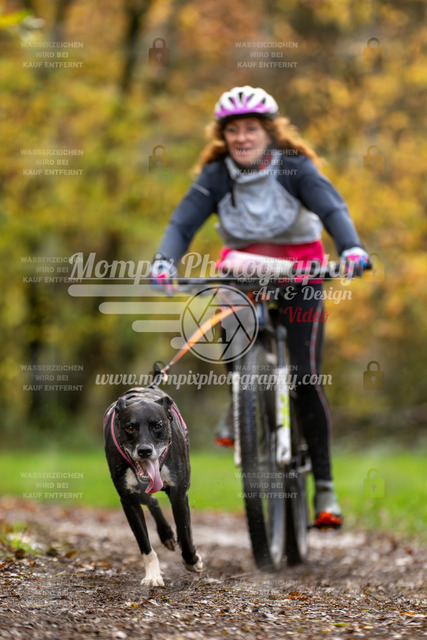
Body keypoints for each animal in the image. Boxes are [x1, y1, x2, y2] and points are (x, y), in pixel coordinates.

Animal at [103, 386, 203, 586]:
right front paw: (152, 575)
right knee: (151, 500)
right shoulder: (128, 500)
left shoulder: (179, 494)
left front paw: (192, 560)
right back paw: (166, 534)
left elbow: (185, 531)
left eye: (157, 426)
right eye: (130, 427)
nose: (144, 450)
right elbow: (144, 543)